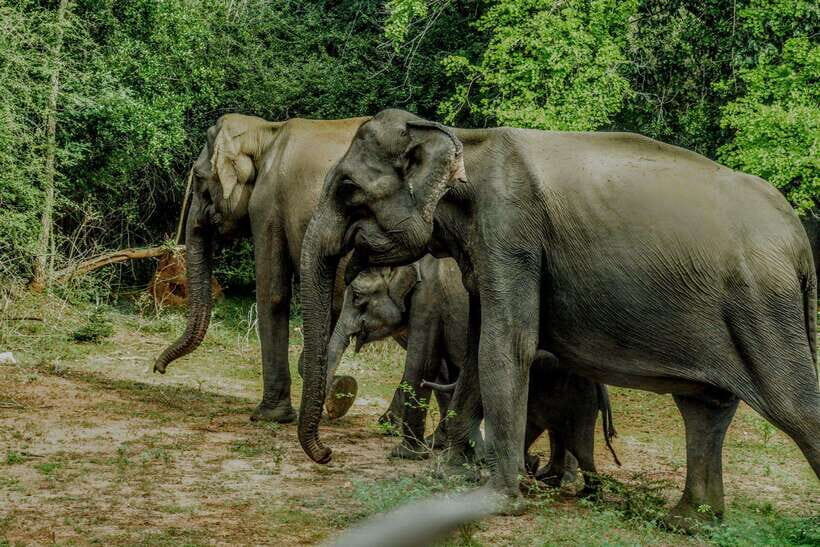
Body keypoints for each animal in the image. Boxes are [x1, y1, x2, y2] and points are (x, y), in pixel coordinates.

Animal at [153, 113, 367, 423]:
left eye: (198, 177)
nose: (158, 369)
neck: (266, 132)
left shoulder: (267, 204)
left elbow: (273, 293)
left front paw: (269, 416)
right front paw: (339, 392)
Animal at [326, 254, 619, 492]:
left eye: (357, 297)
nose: (328, 454)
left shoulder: (428, 300)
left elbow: (422, 364)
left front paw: (405, 453)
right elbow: (445, 373)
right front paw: (439, 445)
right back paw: (551, 476)